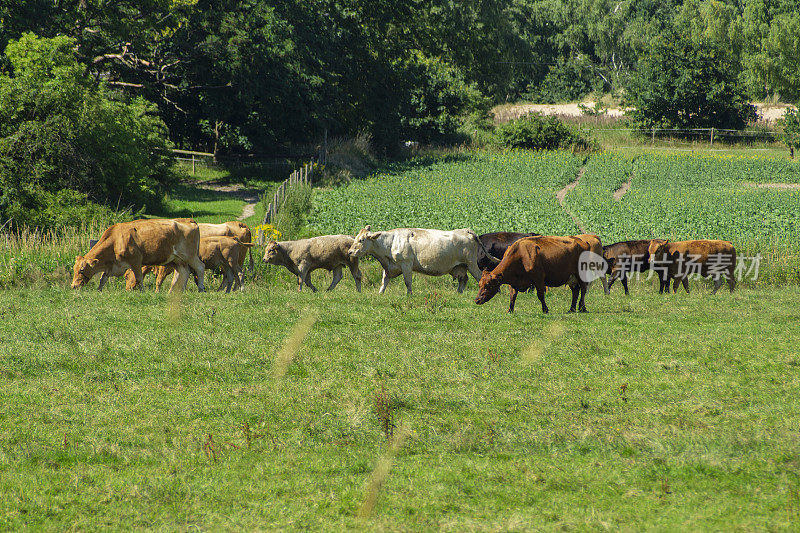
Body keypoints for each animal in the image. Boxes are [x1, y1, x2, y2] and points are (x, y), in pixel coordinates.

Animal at [71, 217, 206, 294]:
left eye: (81, 270)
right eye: (74, 269)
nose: (73, 286)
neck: (116, 240)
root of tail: (188, 220)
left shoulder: (135, 261)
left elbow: (139, 277)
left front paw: (142, 291)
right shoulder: (113, 265)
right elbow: (103, 278)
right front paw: (99, 290)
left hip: (190, 255)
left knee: (200, 267)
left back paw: (201, 288)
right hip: (176, 260)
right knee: (182, 272)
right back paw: (173, 291)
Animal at [346, 222, 496, 294]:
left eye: (361, 240)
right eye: (356, 237)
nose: (350, 252)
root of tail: (465, 230)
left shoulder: (406, 264)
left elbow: (408, 282)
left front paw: (409, 295)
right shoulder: (389, 267)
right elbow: (384, 282)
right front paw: (380, 294)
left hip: (471, 263)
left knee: (480, 277)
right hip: (460, 266)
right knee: (463, 279)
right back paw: (458, 293)